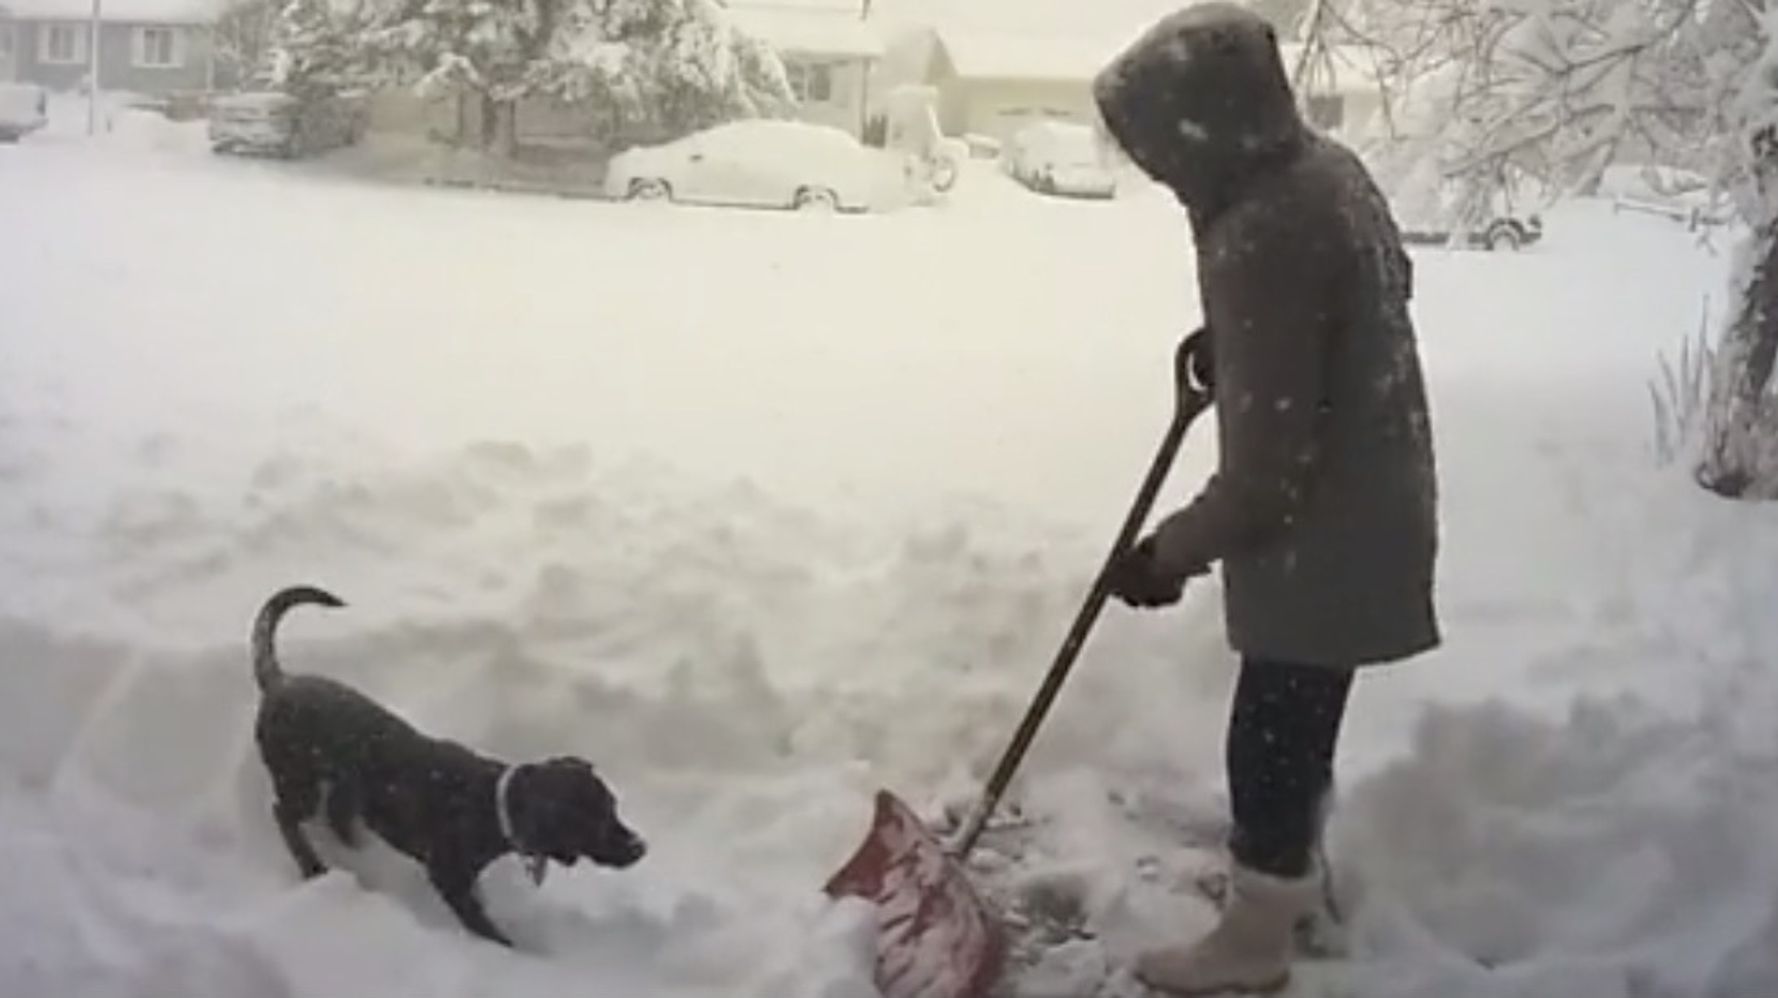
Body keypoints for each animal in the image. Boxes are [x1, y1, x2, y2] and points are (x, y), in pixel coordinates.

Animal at [247, 583, 643, 939]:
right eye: (595, 822)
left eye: (614, 806)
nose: (641, 846)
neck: (492, 805)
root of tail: (280, 683)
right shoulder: (449, 878)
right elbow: (487, 930)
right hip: (299, 780)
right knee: (283, 814)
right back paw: (312, 866)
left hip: (341, 784)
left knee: (335, 815)